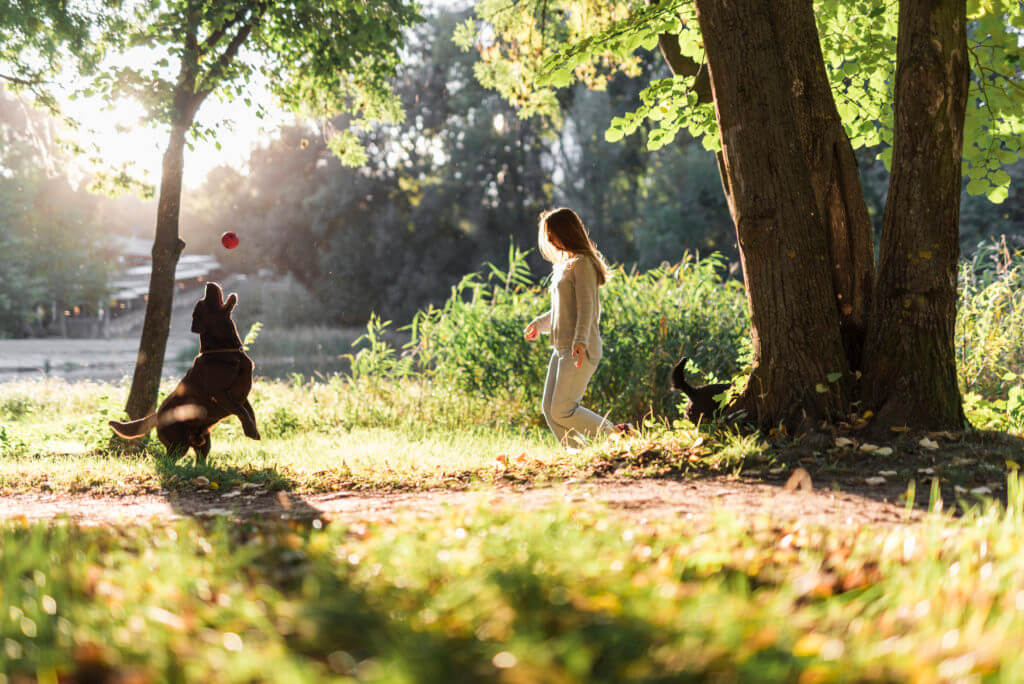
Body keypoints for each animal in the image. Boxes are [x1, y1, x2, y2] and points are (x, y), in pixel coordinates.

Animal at [107, 280, 260, 462]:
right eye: (203, 303)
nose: (208, 283)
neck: (226, 351)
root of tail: (157, 414)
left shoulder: (242, 393)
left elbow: (249, 411)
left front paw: (254, 430)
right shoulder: (220, 393)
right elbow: (240, 410)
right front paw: (250, 431)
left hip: (204, 441)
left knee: (200, 457)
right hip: (178, 444)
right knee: (167, 460)